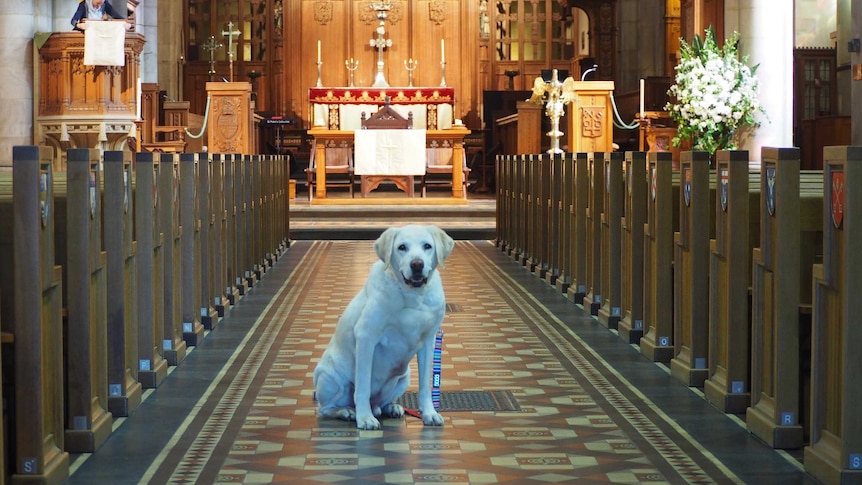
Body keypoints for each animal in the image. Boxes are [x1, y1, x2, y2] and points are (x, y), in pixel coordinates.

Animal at [314, 225, 456, 430]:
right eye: (402, 247)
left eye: (427, 246)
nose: (417, 264)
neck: (412, 296)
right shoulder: (366, 337)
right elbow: (363, 387)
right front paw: (364, 418)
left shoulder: (429, 343)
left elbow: (425, 385)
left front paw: (429, 413)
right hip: (331, 379)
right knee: (326, 408)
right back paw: (348, 412)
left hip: (404, 376)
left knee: (381, 403)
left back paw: (391, 407)